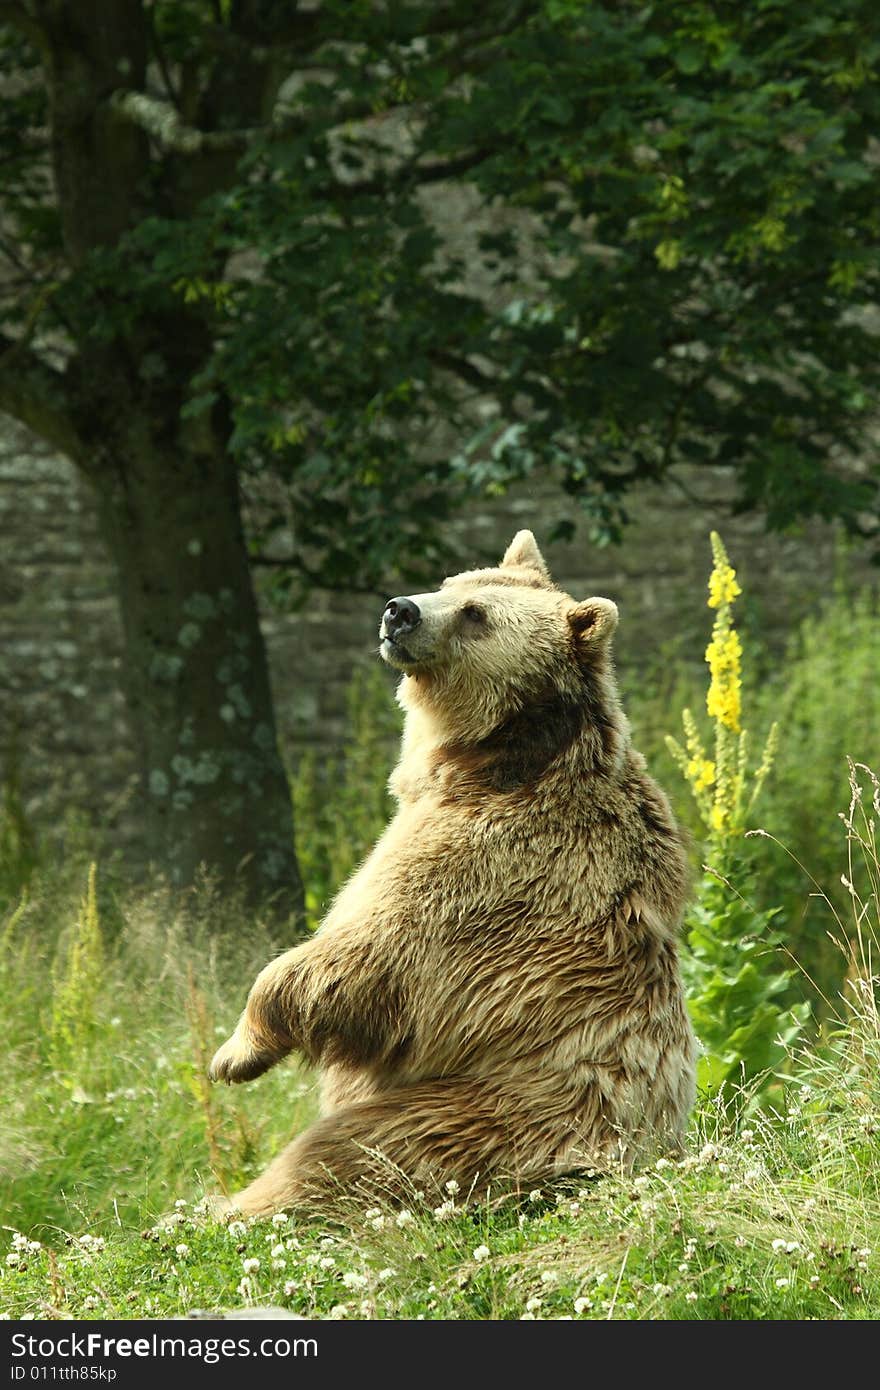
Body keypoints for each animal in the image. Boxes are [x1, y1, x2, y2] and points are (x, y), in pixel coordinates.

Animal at [209, 530, 697, 1217]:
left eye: (475, 614)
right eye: (451, 582)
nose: (399, 610)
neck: (485, 761)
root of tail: (649, 1157)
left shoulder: (486, 866)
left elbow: (367, 953)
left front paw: (235, 1053)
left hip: (486, 1115)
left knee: (338, 1154)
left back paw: (229, 1207)